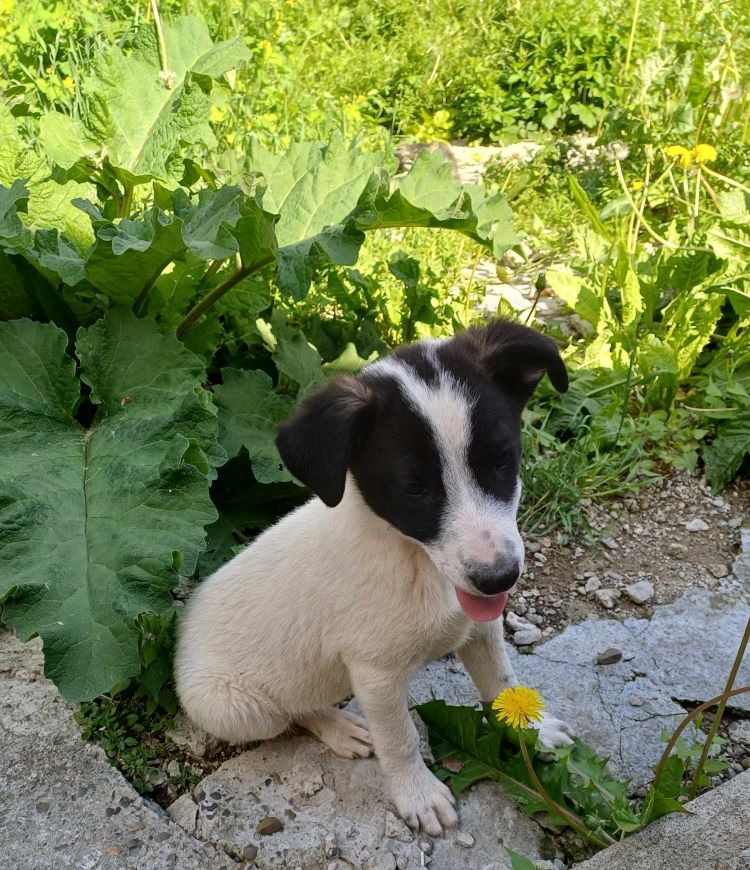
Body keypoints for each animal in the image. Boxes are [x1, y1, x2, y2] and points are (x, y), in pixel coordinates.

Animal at [175, 320, 576, 836]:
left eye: (503, 460)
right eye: (413, 487)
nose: (499, 579)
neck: (415, 560)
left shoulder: (480, 628)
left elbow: (504, 685)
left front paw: (533, 732)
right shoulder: (376, 675)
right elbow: (399, 738)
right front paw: (419, 794)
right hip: (235, 707)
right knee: (292, 712)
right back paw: (340, 727)